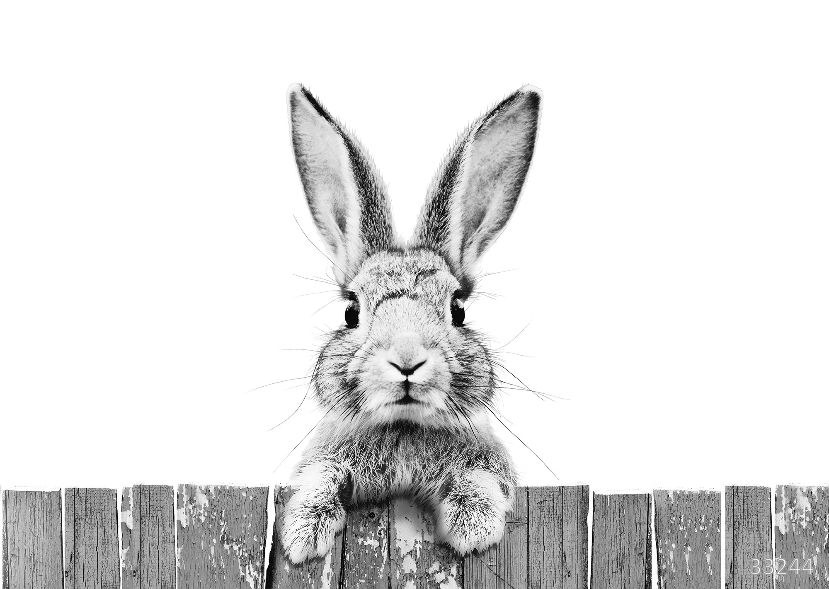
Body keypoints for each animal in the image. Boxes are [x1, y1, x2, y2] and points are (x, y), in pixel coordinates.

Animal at [280, 83, 541, 564]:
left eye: (457, 310)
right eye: (352, 311)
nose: (406, 359)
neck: (405, 428)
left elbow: (480, 478)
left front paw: (475, 527)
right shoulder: (323, 459)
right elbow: (320, 476)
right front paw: (304, 535)